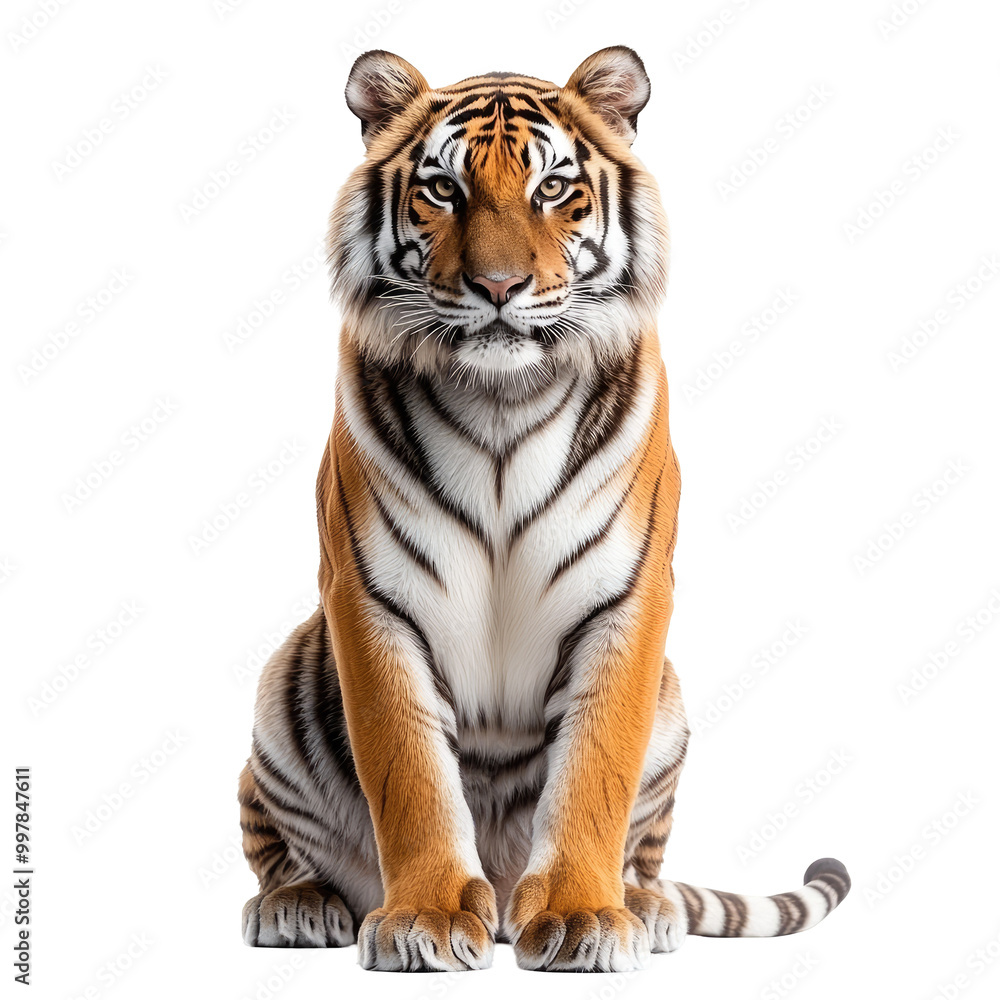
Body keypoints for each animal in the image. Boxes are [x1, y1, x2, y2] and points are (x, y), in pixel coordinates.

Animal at [238, 46, 850, 973]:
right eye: (443, 189)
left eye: (553, 188)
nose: (498, 286)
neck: (502, 398)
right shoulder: (369, 598)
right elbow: (409, 771)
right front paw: (424, 918)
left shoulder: (629, 598)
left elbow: (596, 768)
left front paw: (582, 917)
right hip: (284, 687)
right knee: (272, 838)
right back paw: (301, 904)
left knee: (647, 851)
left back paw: (645, 906)